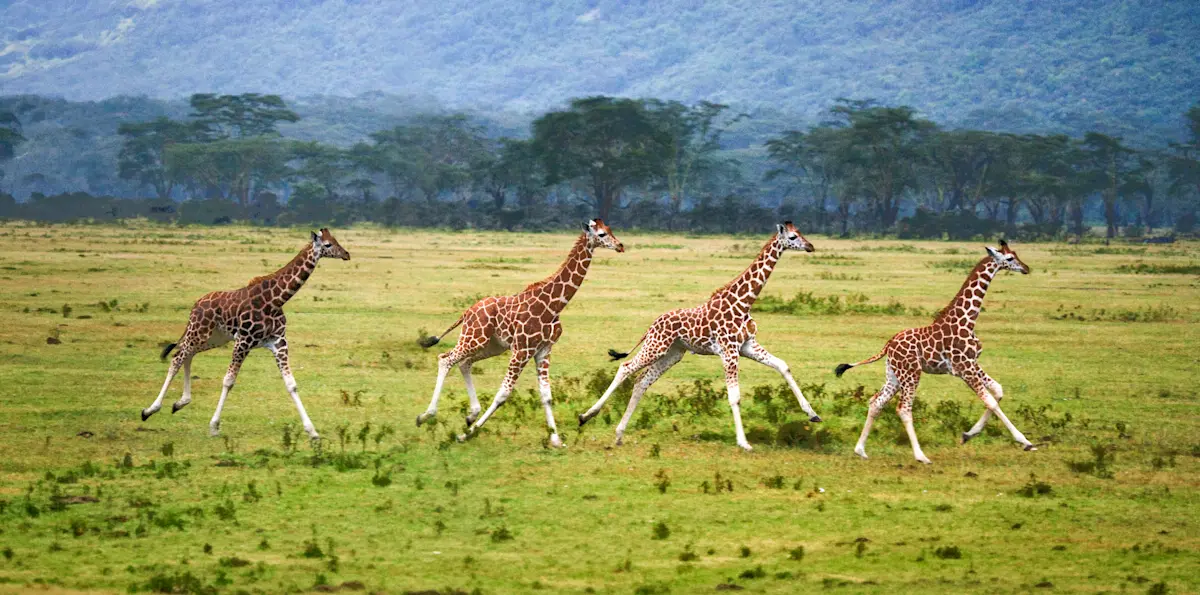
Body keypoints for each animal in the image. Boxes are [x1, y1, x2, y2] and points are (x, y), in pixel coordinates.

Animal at [140, 229, 351, 439]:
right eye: (328, 244)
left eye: (335, 240)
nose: (346, 254)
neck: (275, 301)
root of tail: (196, 304)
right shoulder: (243, 341)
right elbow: (228, 381)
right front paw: (214, 426)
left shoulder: (279, 342)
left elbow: (291, 383)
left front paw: (312, 432)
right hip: (198, 332)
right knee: (177, 358)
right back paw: (149, 410)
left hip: (212, 338)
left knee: (186, 355)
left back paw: (180, 403)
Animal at [416, 219, 625, 447]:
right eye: (602, 234)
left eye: (611, 230)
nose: (620, 245)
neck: (554, 306)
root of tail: (468, 311)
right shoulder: (522, 349)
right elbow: (503, 394)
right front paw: (467, 434)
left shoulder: (543, 350)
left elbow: (546, 395)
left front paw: (556, 439)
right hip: (474, 337)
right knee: (445, 358)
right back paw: (426, 416)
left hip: (492, 346)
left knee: (464, 363)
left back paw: (471, 413)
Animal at [578, 222, 820, 451]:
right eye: (793, 237)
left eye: (801, 233)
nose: (810, 246)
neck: (744, 302)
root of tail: (652, 325)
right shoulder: (729, 351)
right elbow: (735, 397)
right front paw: (743, 443)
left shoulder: (747, 346)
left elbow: (783, 365)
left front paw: (812, 414)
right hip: (656, 346)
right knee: (626, 367)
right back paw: (585, 416)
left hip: (673, 353)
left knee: (642, 381)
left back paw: (619, 434)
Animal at [835, 240, 1035, 464]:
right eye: (1010, 258)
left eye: (1015, 254)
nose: (1026, 268)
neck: (968, 321)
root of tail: (888, 345)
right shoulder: (965, 368)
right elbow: (991, 402)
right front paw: (1025, 441)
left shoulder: (972, 364)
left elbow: (998, 391)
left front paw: (968, 435)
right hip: (911, 373)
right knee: (903, 409)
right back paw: (921, 456)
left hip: (894, 374)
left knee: (876, 402)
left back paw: (860, 450)